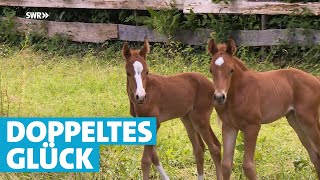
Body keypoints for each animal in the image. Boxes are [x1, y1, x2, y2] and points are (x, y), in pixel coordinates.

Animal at [123, 39, 222, 180]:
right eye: (128, 72)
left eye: (146, 71)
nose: (140, 96)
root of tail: (212, 85)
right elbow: (154, 157)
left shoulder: (154, 123)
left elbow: (146, 160)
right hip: (187, 118)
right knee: (199, 148)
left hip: (200, 119)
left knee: (214, 147)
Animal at [209, 37, 320, 179]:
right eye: (211, 70)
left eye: (231, 70)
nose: (219, 97)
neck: (238, 92)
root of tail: (315, 79)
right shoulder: (229, 127)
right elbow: (226, 165)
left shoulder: (253, 126)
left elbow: (248, 166)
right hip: (296, 121)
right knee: (314, 154)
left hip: (309, 120)